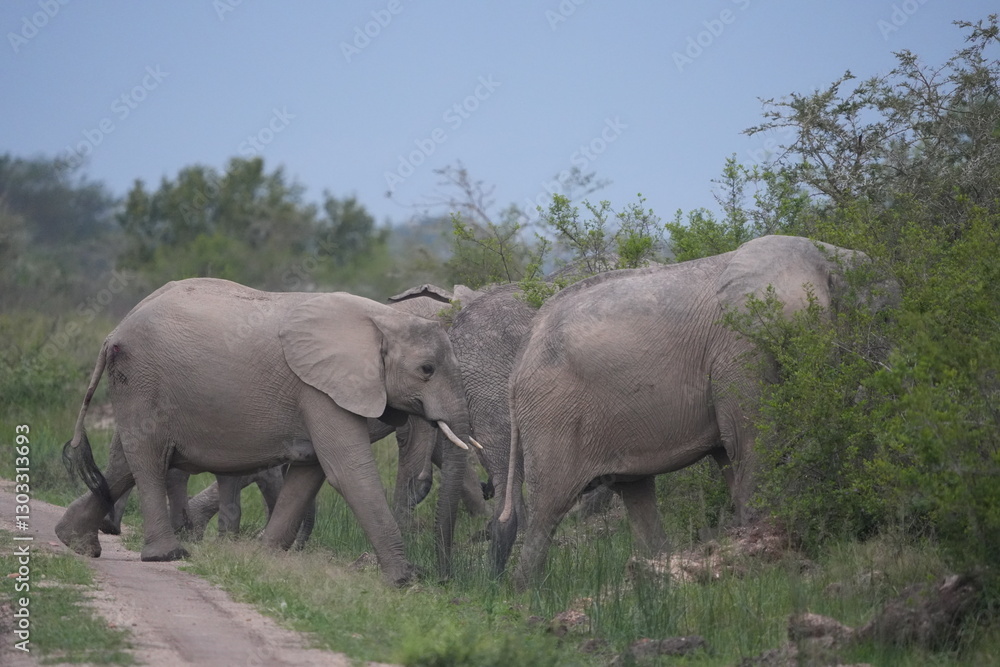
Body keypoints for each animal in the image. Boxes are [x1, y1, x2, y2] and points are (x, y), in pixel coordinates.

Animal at [55, 277, 477, 585]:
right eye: (426, 370)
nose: (441, 577)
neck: (383, 318)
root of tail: (113, 333)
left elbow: (309, 474)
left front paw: (266, 557)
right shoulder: (319, 389)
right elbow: (347, 472)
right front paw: (404, 581)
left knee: (128, 463)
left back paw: (75, 542)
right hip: (141, 380)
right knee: (148, 459)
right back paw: (167, 554)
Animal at [498, 235, 896, 589]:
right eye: (884, 317)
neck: (830, 254)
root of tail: (521, 356)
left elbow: (731, 455)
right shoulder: (741, 347)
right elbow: (751, 439)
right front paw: (761, 554)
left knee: (636, 492)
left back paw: (658, 574)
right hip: (554, 412)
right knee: (550, 504)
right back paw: (527, 592)